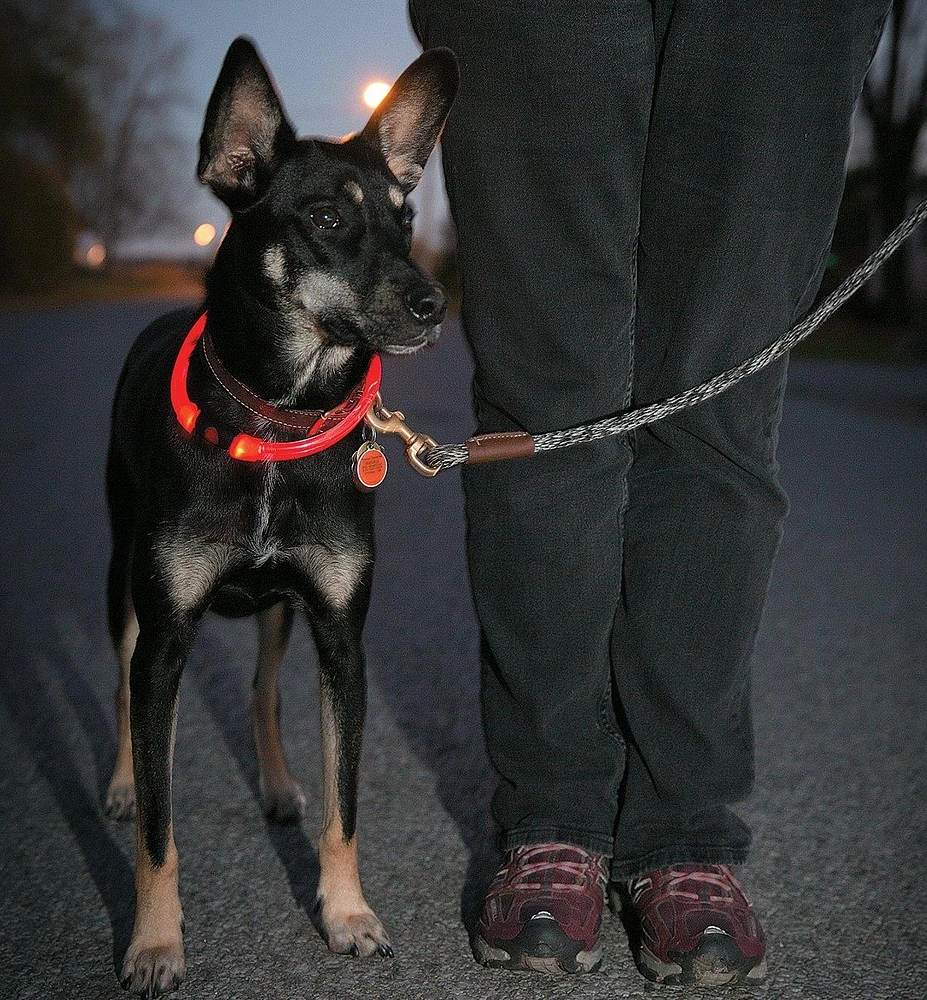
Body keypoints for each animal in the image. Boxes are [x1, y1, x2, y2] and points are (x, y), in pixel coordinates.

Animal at [103, 35, 458, 996]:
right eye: (327, 219)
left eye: (407, 220)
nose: (433, 305)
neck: (275, 421)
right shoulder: (166, 637)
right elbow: (159, 833)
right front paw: (156, 945)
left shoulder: (340, 636)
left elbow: (344, 808)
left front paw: (347, 916)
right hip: (123, 580)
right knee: (119, 682)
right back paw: (118, 783)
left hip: (277, 611)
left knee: (262, 689)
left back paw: (275, 783)